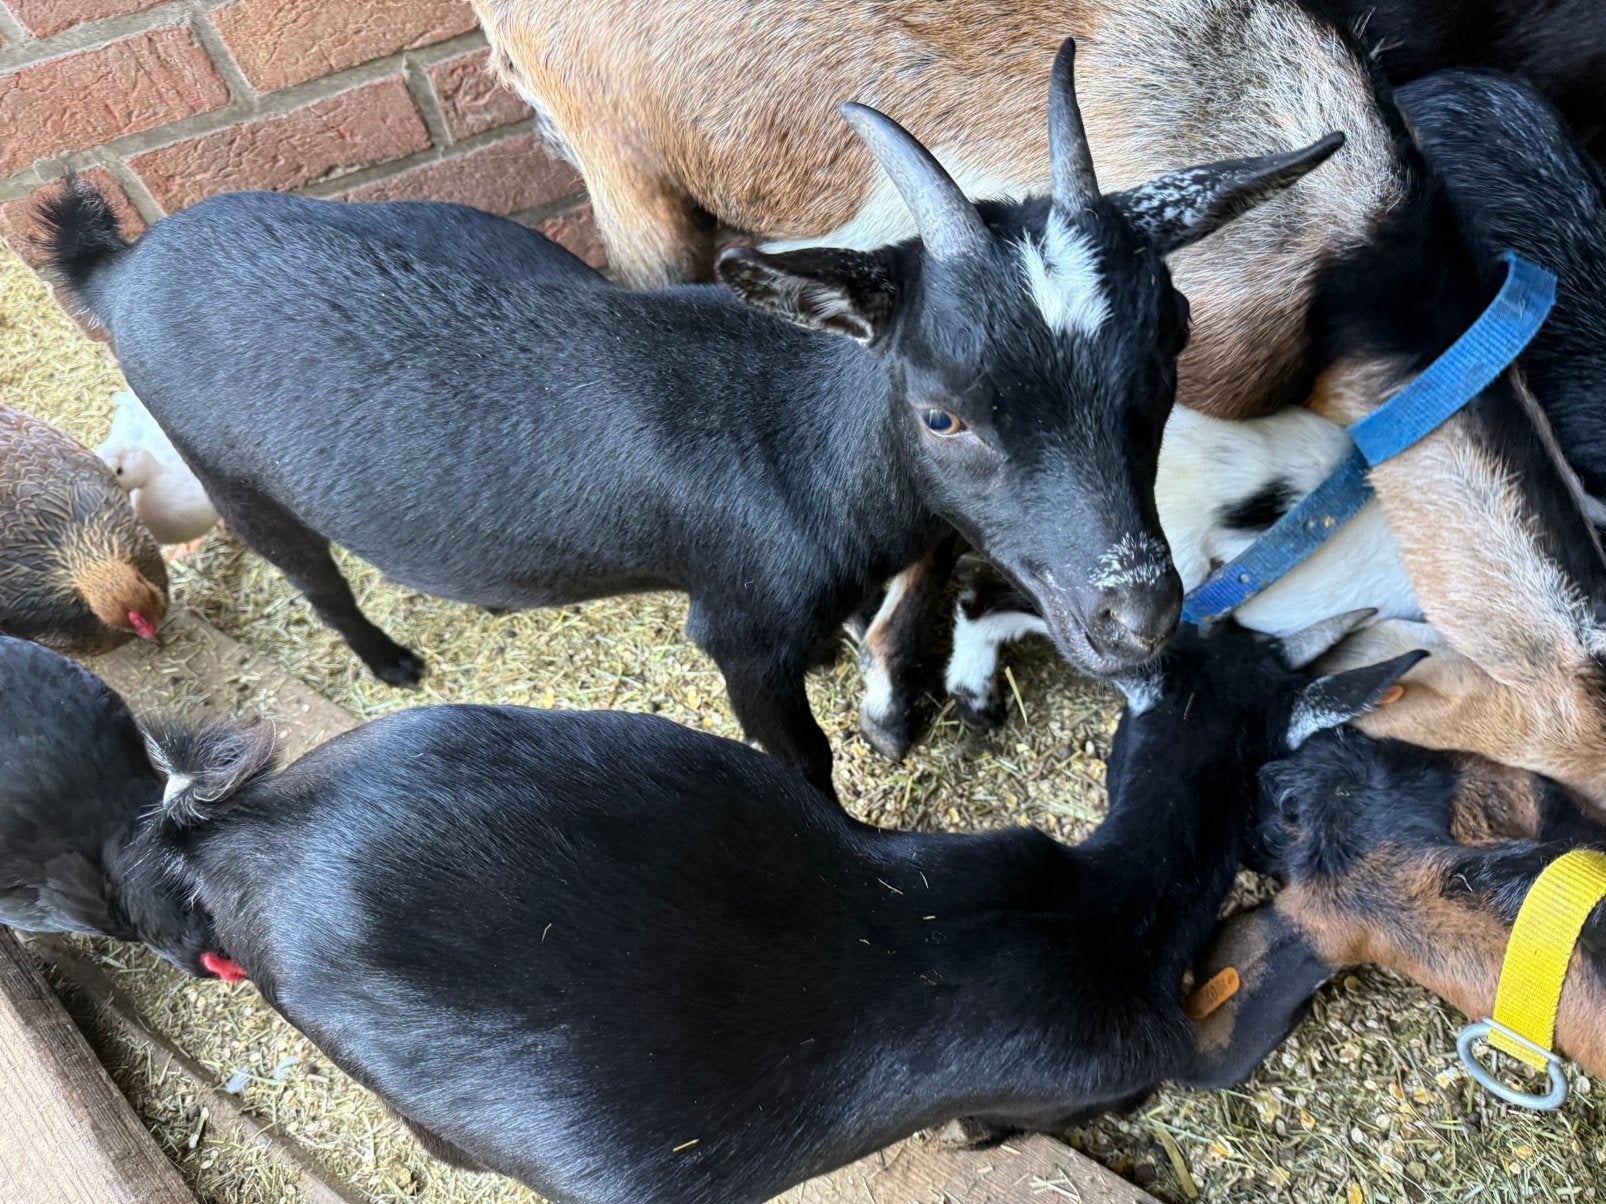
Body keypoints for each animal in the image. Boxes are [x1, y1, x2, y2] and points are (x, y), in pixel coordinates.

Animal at [38, 45, 1339, 796]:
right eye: (941, 411)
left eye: (1171, 338)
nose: (1134, 615)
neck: (808, 439)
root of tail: (122, 267)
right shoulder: (742, 631)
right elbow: (800, 758)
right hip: (229, 472)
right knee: (307, 571)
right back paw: (390, 659)